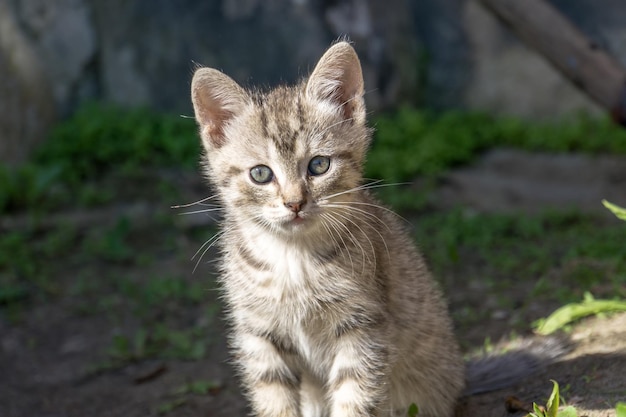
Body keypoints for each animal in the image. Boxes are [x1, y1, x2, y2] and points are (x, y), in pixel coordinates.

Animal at [189, 42, 544, 416]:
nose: (295, 203)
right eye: (260, 174)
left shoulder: (362, 329)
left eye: (319, 165)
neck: (293, 258)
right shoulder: (260, 334)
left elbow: (354, 397)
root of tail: (461, 377)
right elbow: (275, 401)